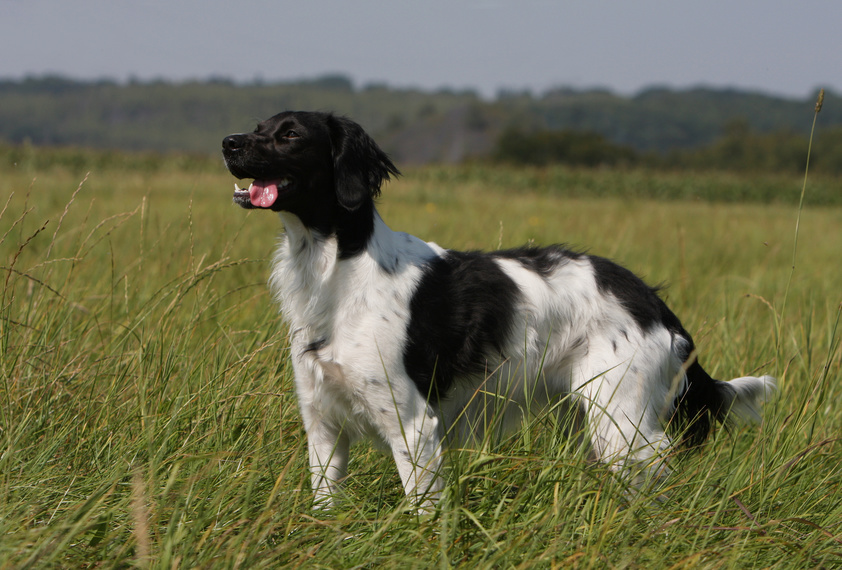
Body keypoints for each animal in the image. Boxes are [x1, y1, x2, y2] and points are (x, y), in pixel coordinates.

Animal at [220, 110, 772, 506]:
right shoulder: (323, 427)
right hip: (588, 418)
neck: (338, 268)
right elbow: (324, 506)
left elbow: (422, 508)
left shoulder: (412, 425)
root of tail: (654, 301)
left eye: (290, 134)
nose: (228, 143)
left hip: (621, 421)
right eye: (258, 127)